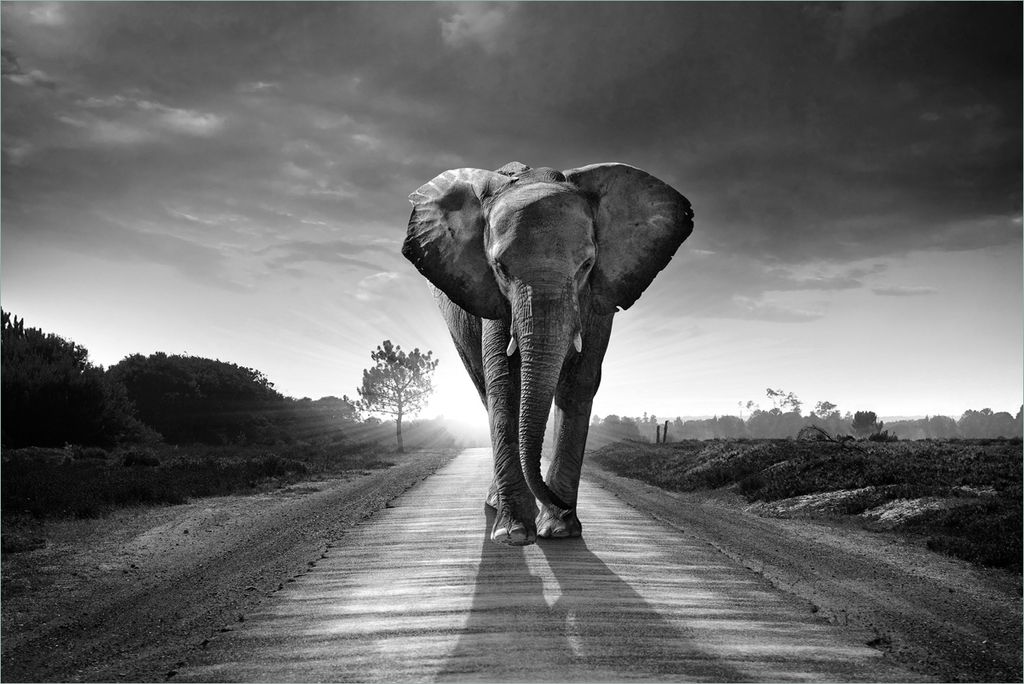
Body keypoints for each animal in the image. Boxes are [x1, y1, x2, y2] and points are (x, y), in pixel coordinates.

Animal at [403, 161, 693, 546]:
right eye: (500, 268)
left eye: (586, 265)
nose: (562, 505)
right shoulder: (492, 299)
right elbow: (504, 384)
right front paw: (514, 533)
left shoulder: (598, 297)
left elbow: (579, 383)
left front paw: (559, 530)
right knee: (484, 390)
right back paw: (497, 505)